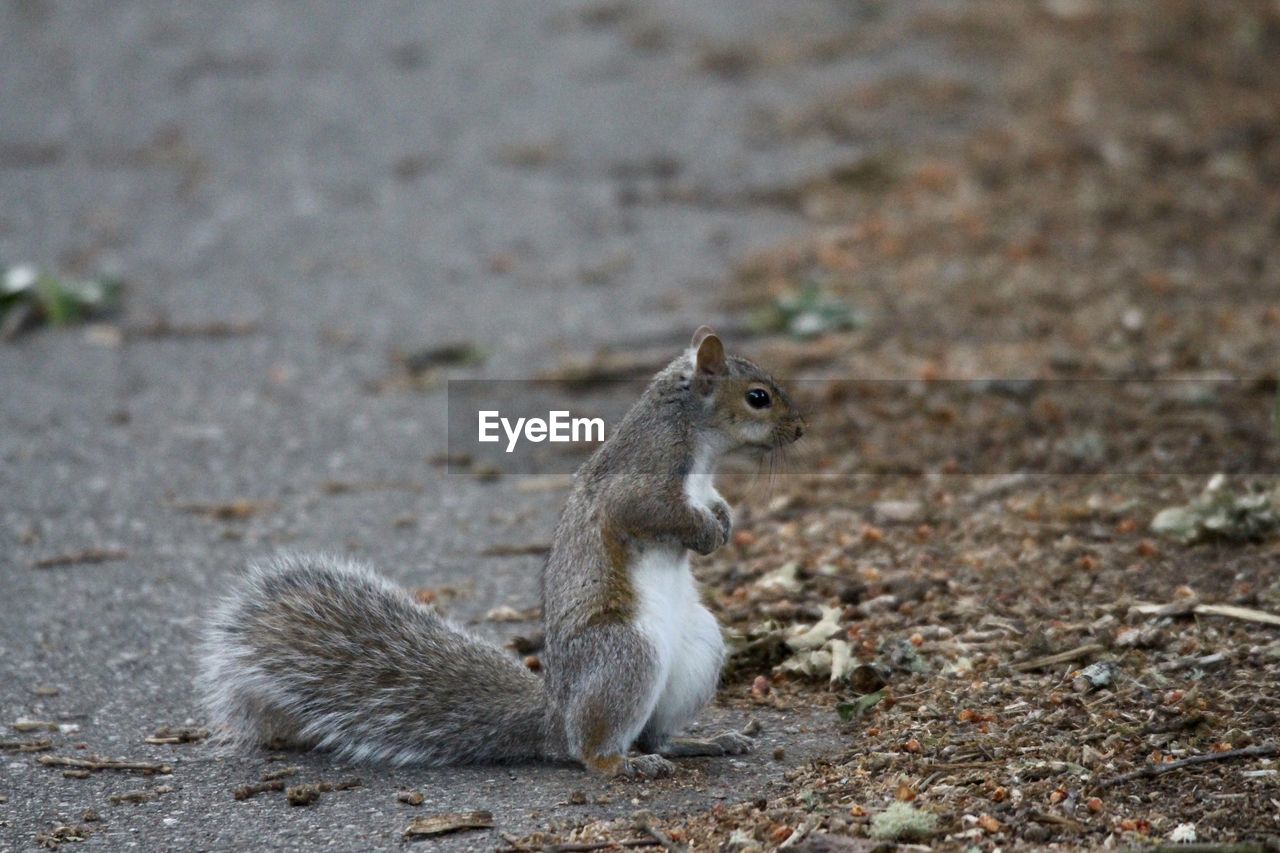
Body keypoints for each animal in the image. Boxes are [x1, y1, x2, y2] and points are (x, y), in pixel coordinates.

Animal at [197, 326, 798, 778]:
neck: (694, 440)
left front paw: (722, 520)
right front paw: (706, 533)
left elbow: (714, 503)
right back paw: (622, 763)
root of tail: (556, 718)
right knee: (595, 749)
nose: (799, 429)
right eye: (758, 396)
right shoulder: (640, 479)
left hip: (697, 648)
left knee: (654, 735)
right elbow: (649, 513)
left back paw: (701, 743)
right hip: (626, 654)